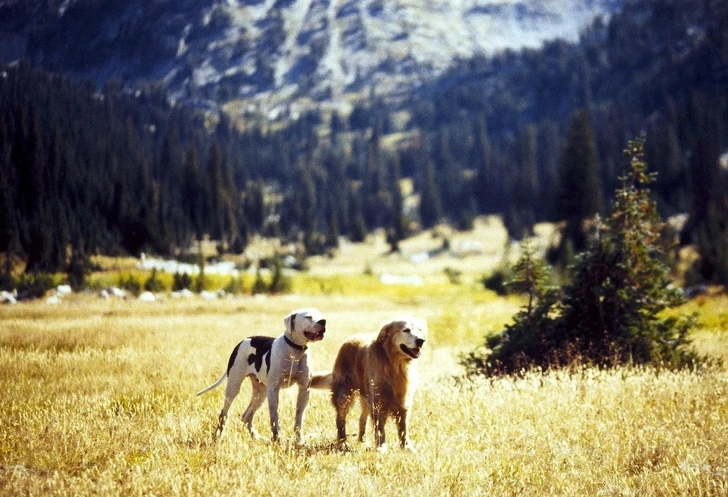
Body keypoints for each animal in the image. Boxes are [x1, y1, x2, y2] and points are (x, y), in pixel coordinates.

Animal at [198, 306, 326, 442]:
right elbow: (274, 416)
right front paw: (276, 439)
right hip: (234, 387)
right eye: (308, 317)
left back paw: (256, 437)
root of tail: (242, 341)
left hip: (261, 392)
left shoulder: (303, 389)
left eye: (320, 315)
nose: (323, 321)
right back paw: (218, 437)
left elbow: (299, 417)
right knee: (224, 413)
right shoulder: (274, 390)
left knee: (247, 415)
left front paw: (299, 440)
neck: (294, 350)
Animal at [326, 318, 426, 450]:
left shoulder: (403, 403)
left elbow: (403, 429)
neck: (393, 365)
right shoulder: (378, 402)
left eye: (420, 330)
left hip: (365, 398)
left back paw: (362, 441)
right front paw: (381, 447)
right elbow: (380, 429)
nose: (421, 340)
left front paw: (407, 448)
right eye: (406, 330)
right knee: (340, 419)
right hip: (344, 395)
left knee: (361, 419)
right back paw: (342, 442)